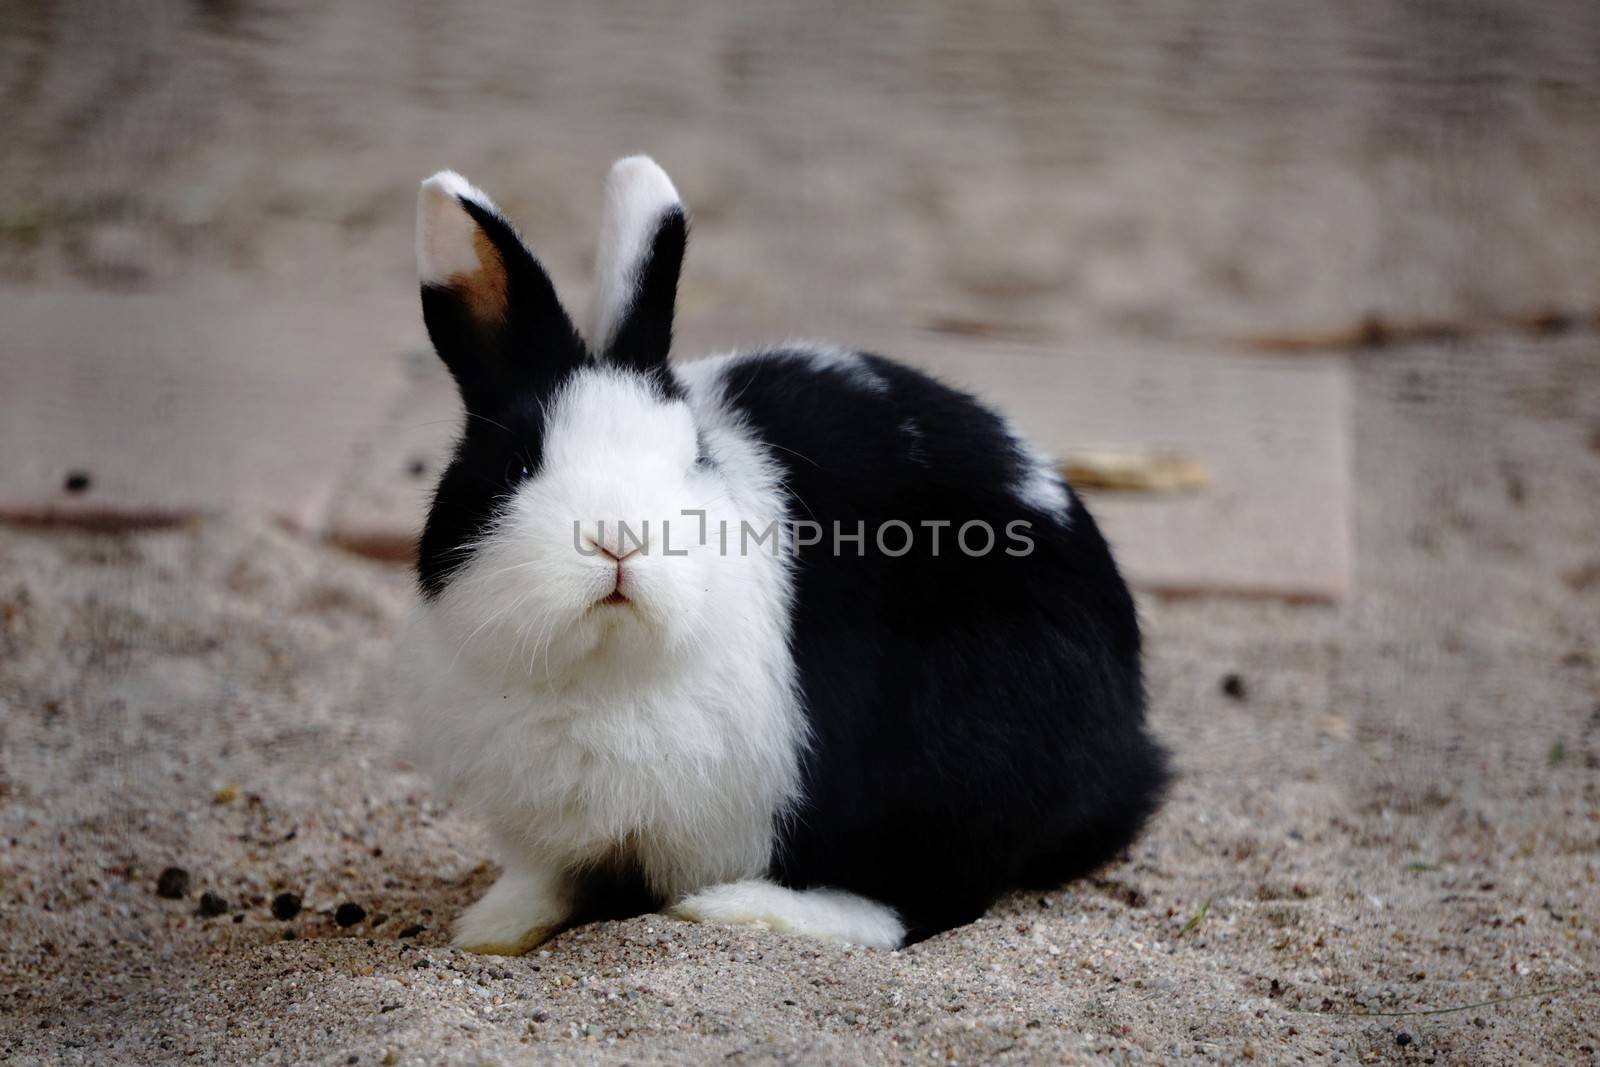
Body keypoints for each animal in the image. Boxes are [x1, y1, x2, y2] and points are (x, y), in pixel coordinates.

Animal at [396, 154, 1177, 953]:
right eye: (517, 463)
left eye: (694, 457)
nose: (620, 539)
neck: (604, 671)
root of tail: (1123, 750)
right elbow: (546, 881)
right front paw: (488, 932)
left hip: (963, 749)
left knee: (928, 896)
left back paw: (739, 906)